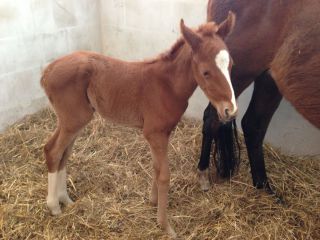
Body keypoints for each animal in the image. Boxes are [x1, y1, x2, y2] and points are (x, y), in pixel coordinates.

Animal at [41, 13, 236, 238]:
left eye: (231, 65)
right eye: (205, 72)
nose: (230, 110)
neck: (167, 85)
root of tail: (47, 71)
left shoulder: (161, 134)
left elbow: (156, 167)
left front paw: (153, 202)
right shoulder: (155, 134)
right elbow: (164, 175)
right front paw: (165, 225)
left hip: (73, 122)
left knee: (63, 153)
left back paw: (66, 200)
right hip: (73, 120)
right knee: (54, 151)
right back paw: (54, 206)